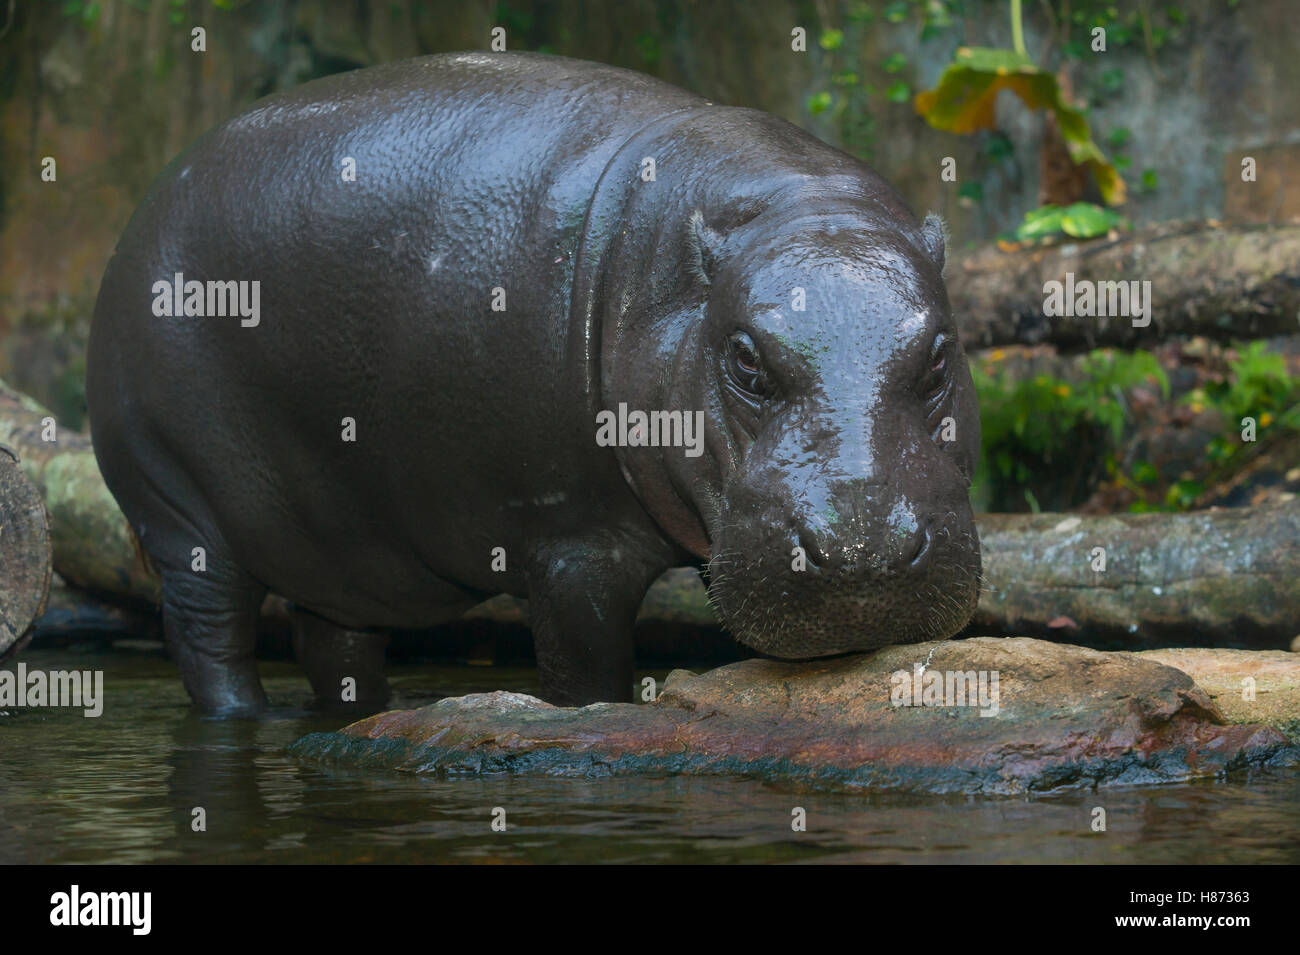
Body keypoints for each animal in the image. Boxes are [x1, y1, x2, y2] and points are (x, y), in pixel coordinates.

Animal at [86, 52, 981, 715]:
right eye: (746, 361)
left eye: (941, 354)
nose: (862, 548)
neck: (794, 205)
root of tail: (138, 218)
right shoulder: (569, 546)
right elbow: (586, 681)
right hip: (179, 509)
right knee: (210, 637)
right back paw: (248, 714)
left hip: (343, 549)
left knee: (334, 642)